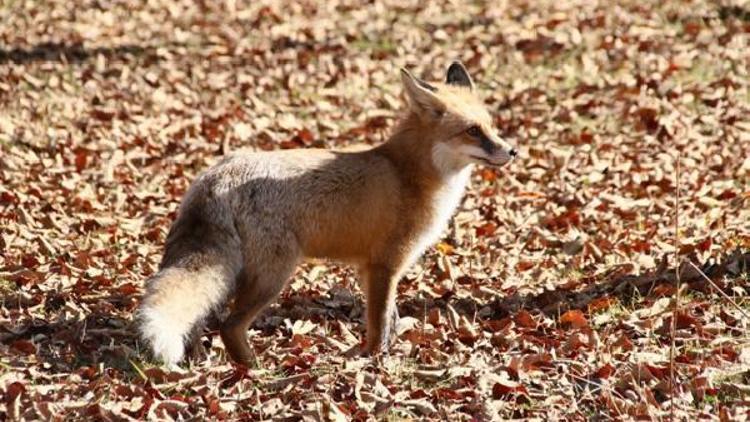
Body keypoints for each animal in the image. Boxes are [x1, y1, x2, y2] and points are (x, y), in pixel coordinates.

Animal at [137, 61, 516, 366]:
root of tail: (215, 175)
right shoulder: (385, 264)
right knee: (229, 326)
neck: (407, 173)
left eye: (491, 127)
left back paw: (200, 360)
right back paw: (255, 370)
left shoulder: (372, 268)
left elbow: (390, 320)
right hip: (272, 276)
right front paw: (373, 361)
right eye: (472, 131)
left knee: (201, 318)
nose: (512, 151)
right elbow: (379, 325)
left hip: (238, 273)